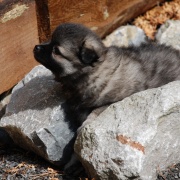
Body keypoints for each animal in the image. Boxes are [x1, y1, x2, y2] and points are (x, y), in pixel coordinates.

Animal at [33, 22, 180, 126]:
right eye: (50, 40)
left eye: (56, 51)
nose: (36, 47)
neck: (93, 72)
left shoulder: (115, 101)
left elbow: (97, 110)